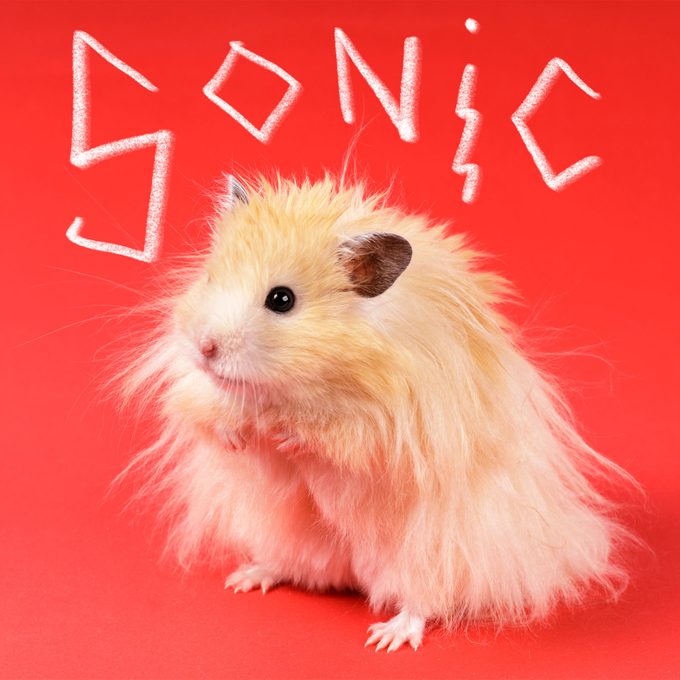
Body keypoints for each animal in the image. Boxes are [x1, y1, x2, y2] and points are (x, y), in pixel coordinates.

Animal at [123, 175, 634, 652]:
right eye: (211, 279)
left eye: (281, 300)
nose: (204, 348)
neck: (301, 387)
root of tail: (355, 575)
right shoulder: (206, 397)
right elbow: (212, 415)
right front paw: (238, 435)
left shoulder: (393, 430)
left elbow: (339, 440)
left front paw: (287, 435)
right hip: (287, 536)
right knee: (292, 566)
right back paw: (247, 577)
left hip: (430, 555)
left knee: (425, 600)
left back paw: (388, 636)